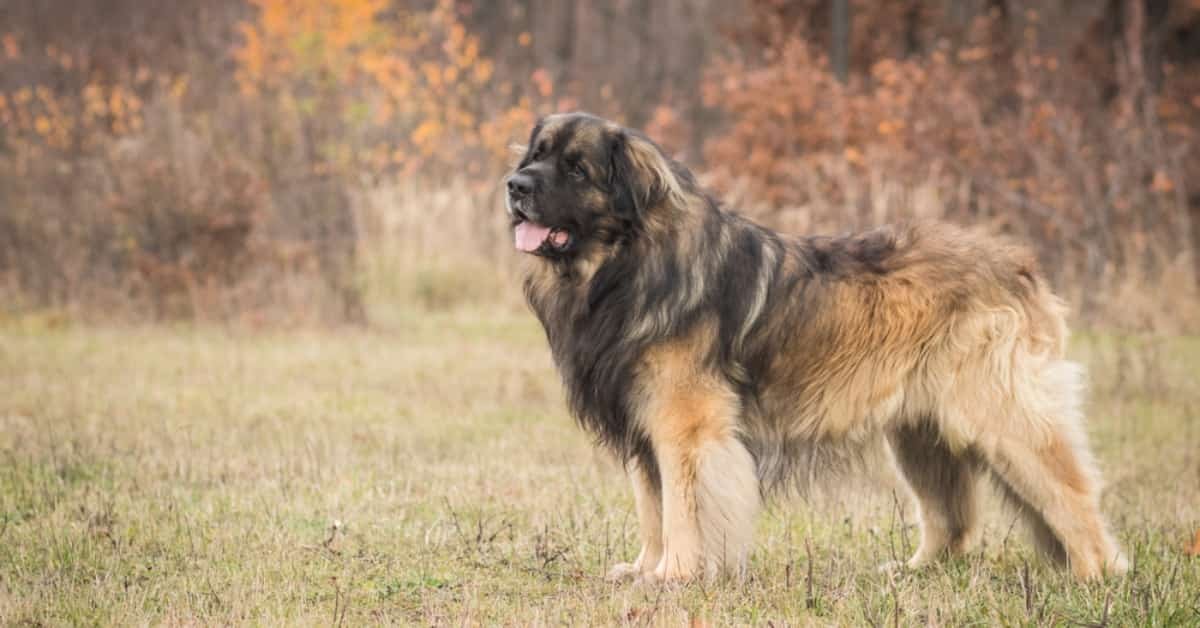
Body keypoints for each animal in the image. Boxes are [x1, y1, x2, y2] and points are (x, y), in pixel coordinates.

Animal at [504, 110, 1123, 583]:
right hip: (920, 432)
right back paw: (915, 571)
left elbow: (683, 507)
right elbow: (652, 505)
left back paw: (1093, 576)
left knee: (1069, 493)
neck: (620, 267)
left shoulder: (686, 428)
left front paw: (675, 575)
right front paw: (644, 569)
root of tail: (1019, 265)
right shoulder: (643, 424)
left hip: (1002, 417)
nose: (515, 186)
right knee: (951, 518)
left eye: (576, 167)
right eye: (535, 155)